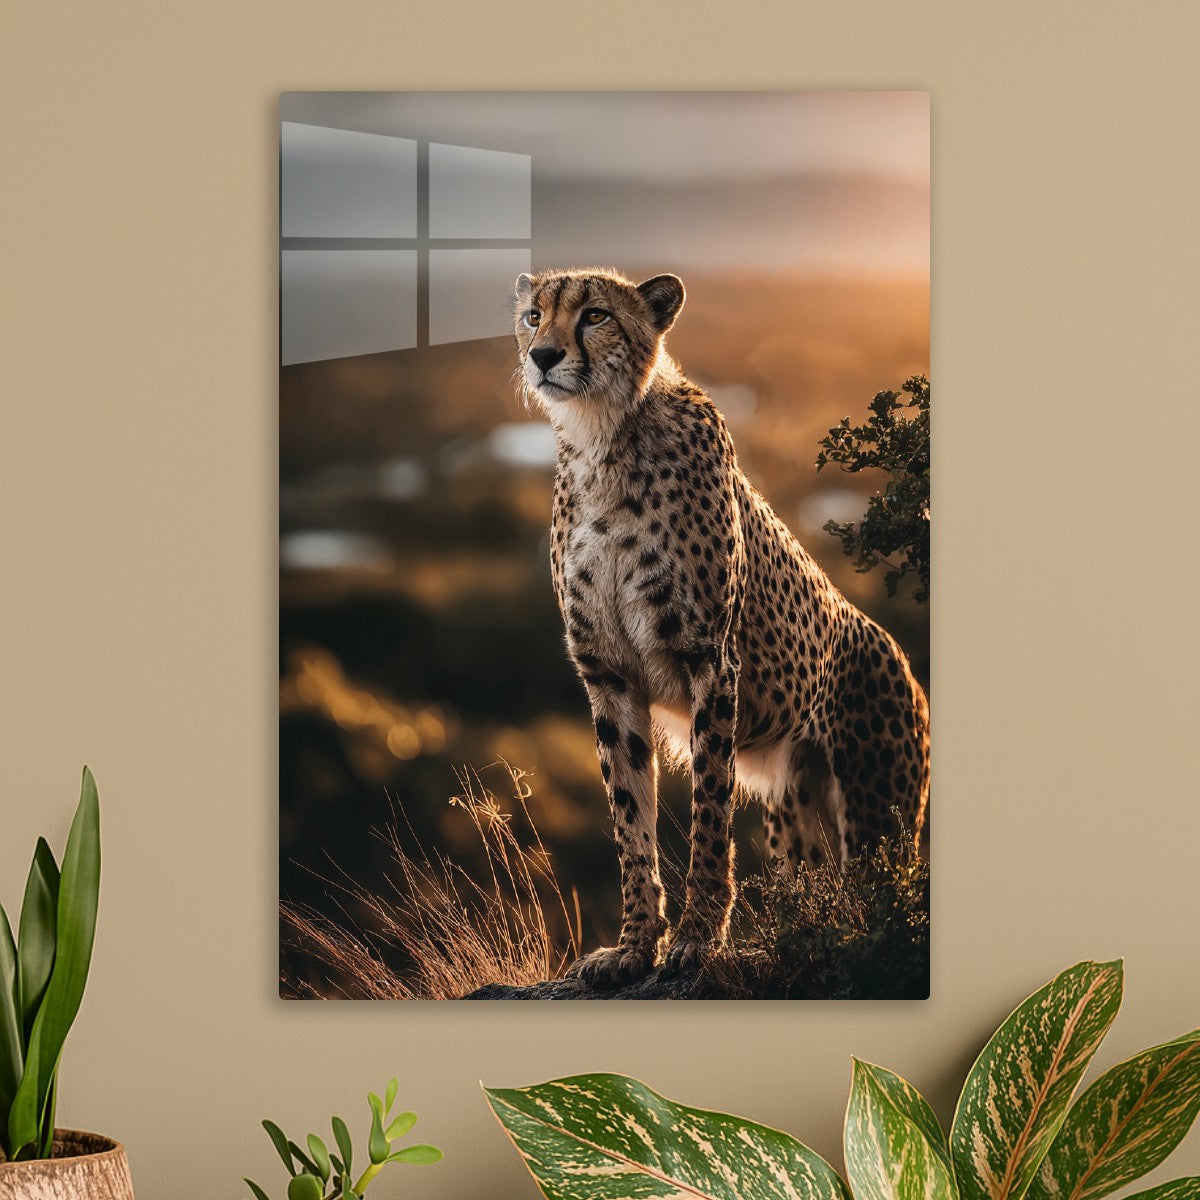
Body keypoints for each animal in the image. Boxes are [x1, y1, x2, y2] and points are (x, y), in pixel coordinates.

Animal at [512, 267, 930, 988]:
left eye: (595, 315)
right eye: (533, 315)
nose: (542, 356)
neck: (603, 441)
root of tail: (899, 656)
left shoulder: (708, 659)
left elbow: (709, 808)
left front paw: (697, 939)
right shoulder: (609, 675)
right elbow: (630, 819)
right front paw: (632, 946)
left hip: (878, 817)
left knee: (886, 910)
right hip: (797, 809)